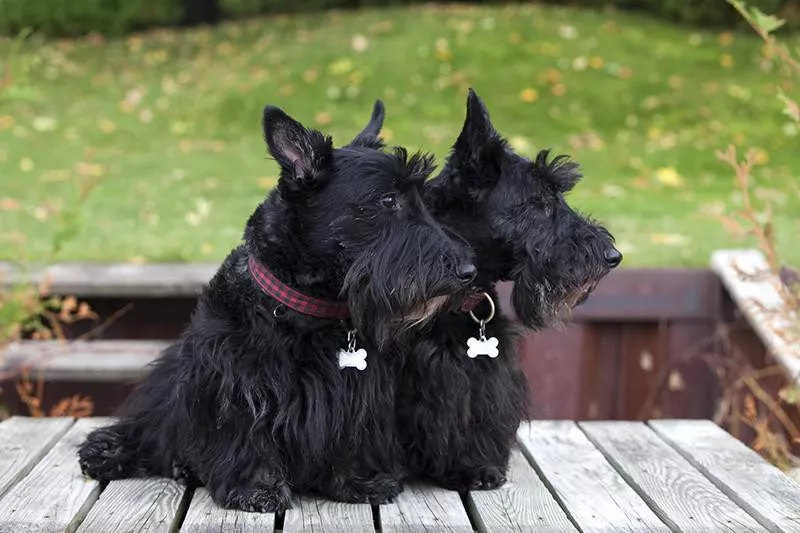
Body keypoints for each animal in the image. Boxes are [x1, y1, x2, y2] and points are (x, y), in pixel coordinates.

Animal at [76, 102, 476, 510]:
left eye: (422, 200)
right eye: (387, 201)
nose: (469, 272)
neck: (308, 309)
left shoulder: (357, 392)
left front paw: (361, 481)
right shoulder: (238, 384)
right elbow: (245, 434)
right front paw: (256, 488)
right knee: (150, 425)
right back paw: (112, 451)